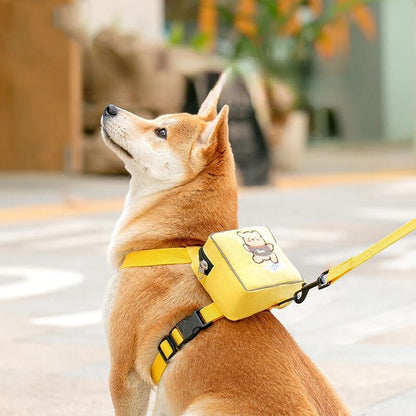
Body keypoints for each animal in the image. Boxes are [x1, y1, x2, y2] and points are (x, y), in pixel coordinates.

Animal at [101, 74, 352, 416]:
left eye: (161, 132)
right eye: (157, 121)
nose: (110, 108)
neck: (175, 241)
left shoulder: (125, 373)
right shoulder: (164, 394)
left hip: (203, 406)